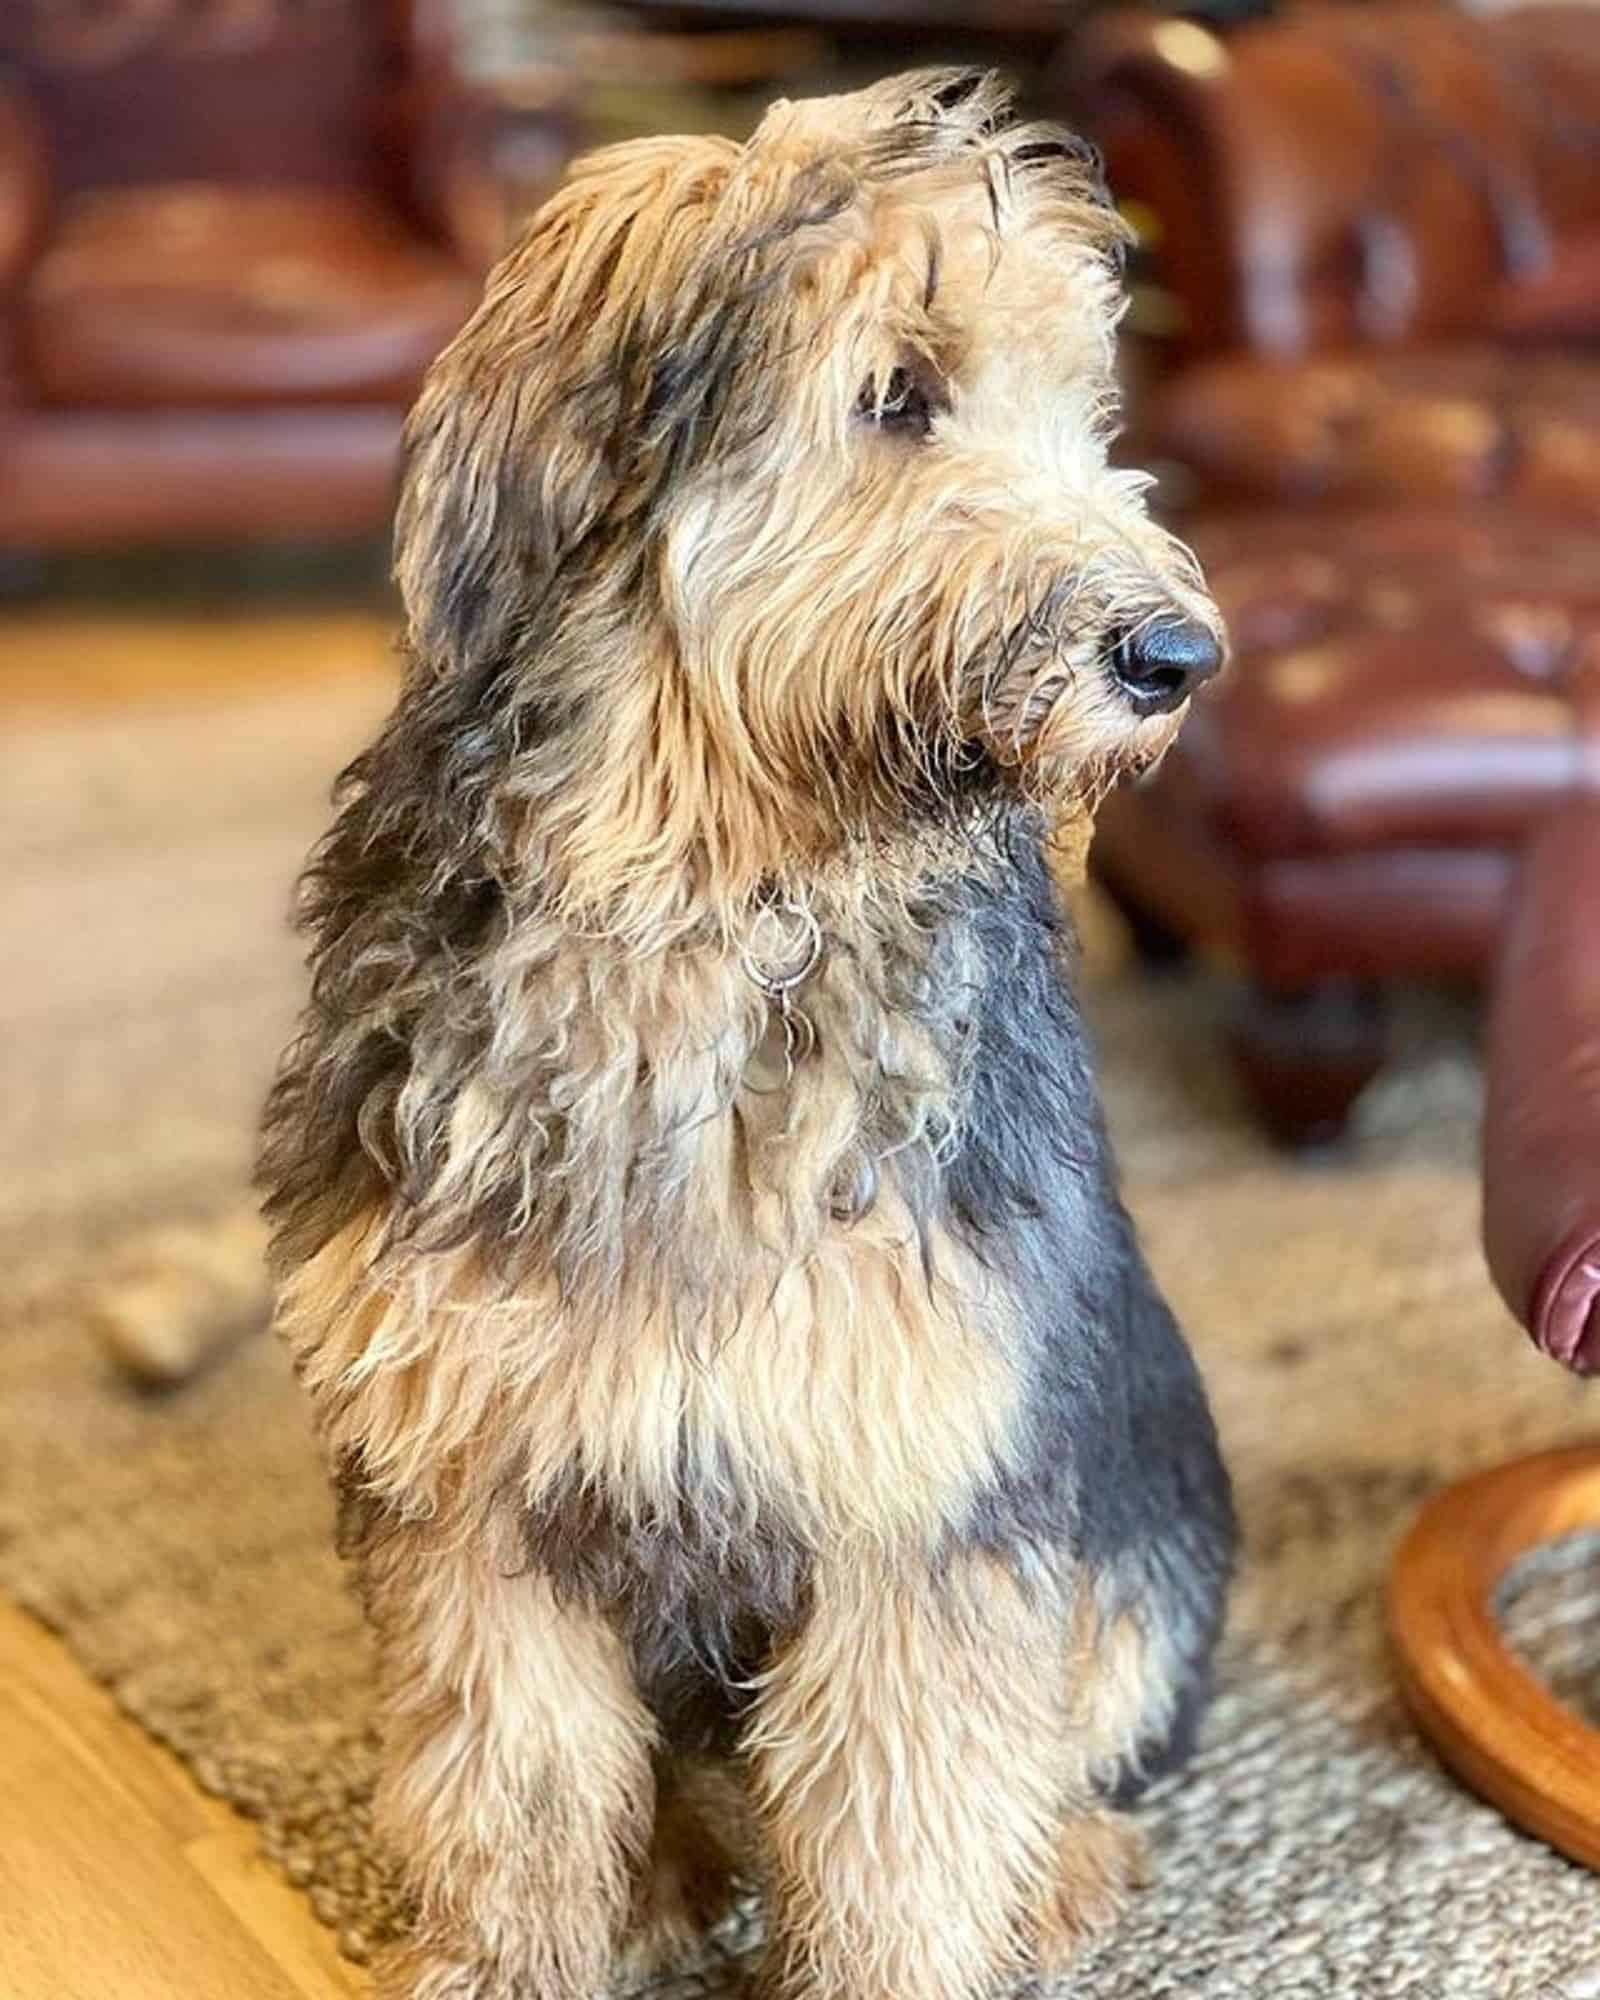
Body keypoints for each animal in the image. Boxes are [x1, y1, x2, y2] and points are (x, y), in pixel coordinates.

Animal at [262, 62, 1240, 2000]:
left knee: (1075, 1734)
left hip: (1142, 1518)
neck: (709, 900)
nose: (1177, 658)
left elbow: (903, 1835)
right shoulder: (475, 1496)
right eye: (898, 392)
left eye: (1088, 414)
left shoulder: (919, 1490)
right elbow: (512, 1803)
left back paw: (1062, 1869)